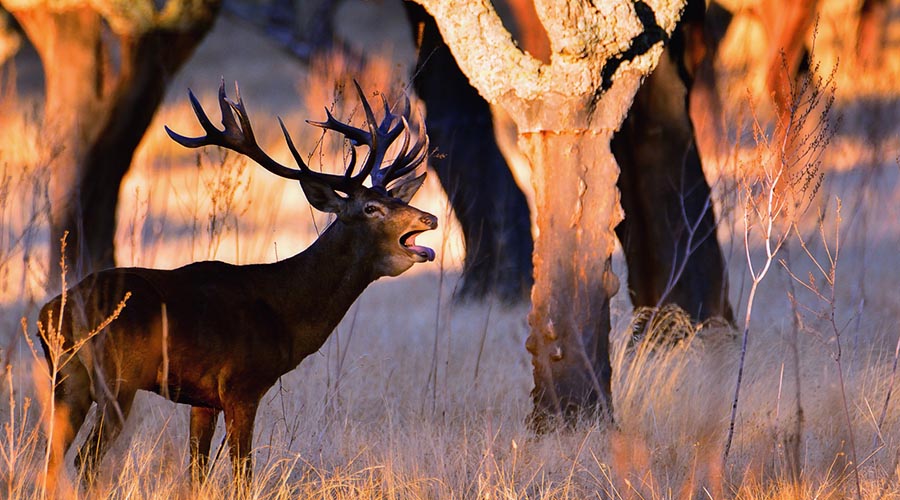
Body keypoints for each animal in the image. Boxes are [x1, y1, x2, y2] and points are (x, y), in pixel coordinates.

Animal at [37, 80, 437, 492]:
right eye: (371, 208)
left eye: (393, 197)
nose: (430, 218)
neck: (284, 314)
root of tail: (52, 311)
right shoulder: (242, 385)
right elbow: (243, 473)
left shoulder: (202, 398)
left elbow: (197, 472)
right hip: (117, 380)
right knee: (85, 459)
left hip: (67, 380)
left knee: (51, 458)